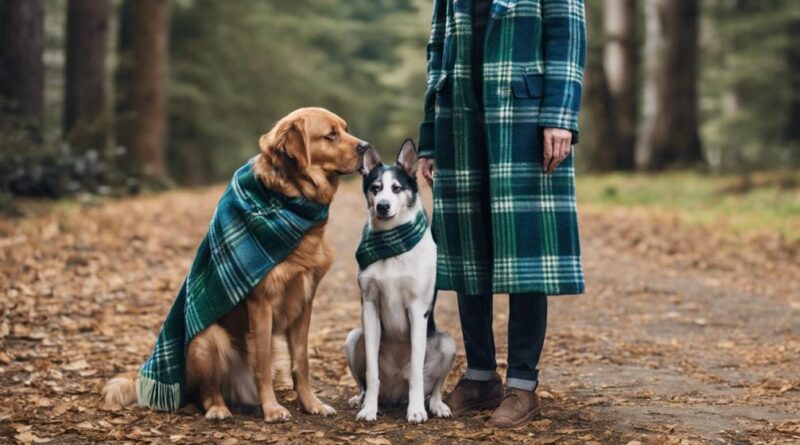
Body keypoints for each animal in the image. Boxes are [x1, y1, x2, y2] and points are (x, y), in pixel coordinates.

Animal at [101, 106, 372, 420]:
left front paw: (311, 403)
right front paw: (272, 410)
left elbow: (301, 362)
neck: (288, 201)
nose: (366, 147)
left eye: (345, 129)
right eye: (330, 135)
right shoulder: (261, 302)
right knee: (207, 393)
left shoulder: (304, 302)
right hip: (206, 338)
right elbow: (261, 364)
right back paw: (220, 408)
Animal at [344, 140, 456, 424]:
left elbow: (416, 371)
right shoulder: (370, 306)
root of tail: (396, 394)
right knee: (364, 383)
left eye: (396, 188)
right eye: (375, 188)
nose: (383, 206)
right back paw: (361, 399)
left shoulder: (417, 309)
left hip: (448, 343)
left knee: (434, 387)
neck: (391, 243)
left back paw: (436, 406)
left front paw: (416, 411)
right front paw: (369, 410)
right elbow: (371, 374)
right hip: (353, 337)